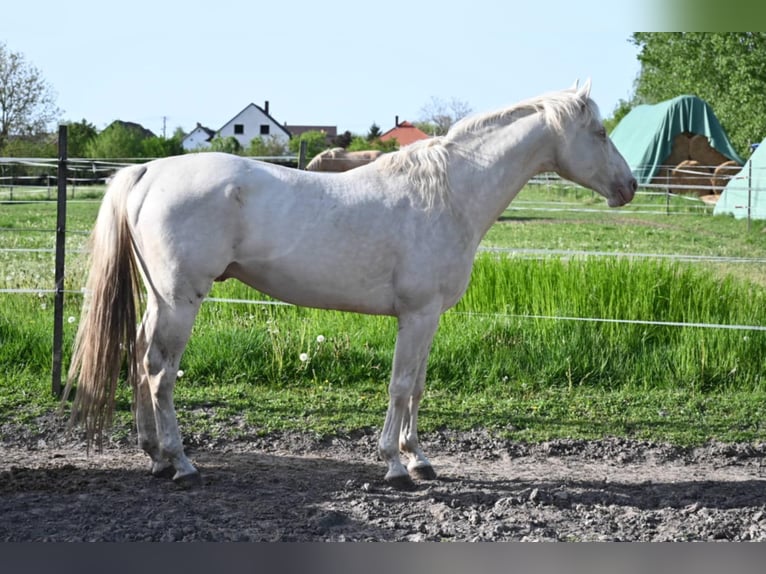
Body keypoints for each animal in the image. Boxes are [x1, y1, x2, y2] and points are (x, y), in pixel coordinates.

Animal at [64, 80, 636, 489]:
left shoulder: (429, 317)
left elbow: (418, 386)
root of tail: (148, 171)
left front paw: (419, 458)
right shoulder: (417, 314)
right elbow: (401, 386)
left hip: (160, 300)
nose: (630, 187)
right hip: (181, 301)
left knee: (138, 360)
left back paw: (154, 456)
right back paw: (181, 462)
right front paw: (394, 466)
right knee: (159, 372)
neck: (449, 192)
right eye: (600, 132)